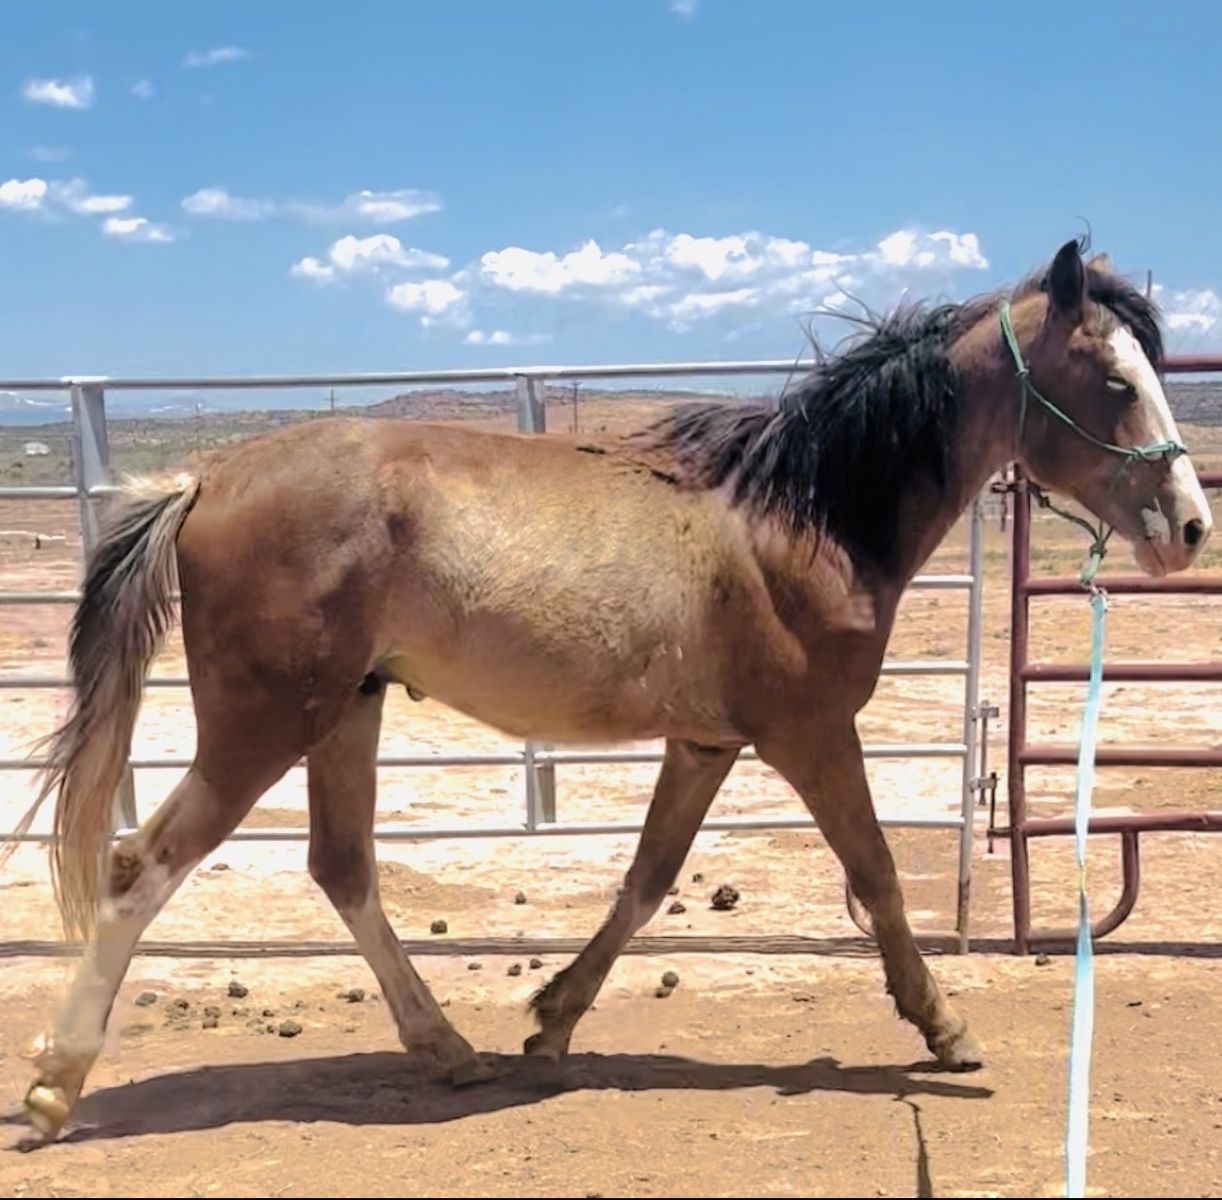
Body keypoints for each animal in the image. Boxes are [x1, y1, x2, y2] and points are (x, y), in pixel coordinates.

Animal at [5, 237, 1212, 1140]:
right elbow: (872, 875)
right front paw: (946, 1030)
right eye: (1114, 381)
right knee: (142, 866)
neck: (798, 520)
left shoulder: (707, 743)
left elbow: (646, 881)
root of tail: (206, 476)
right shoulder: (812, 733)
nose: (1189, 528)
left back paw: (450, 1048)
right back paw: (57, 1085)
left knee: (341, 869)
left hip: (347, 709)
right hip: (262, 723)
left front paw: (550, 1022)